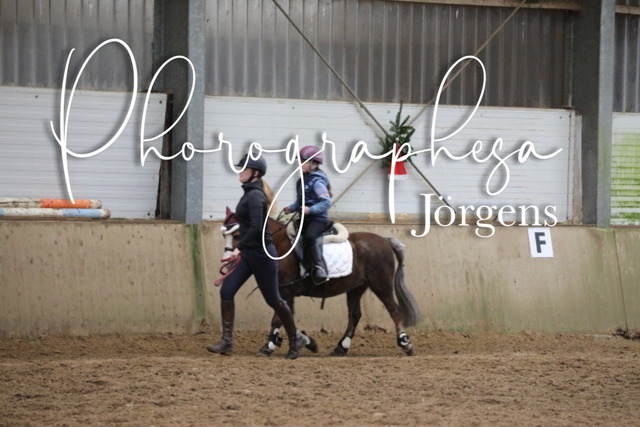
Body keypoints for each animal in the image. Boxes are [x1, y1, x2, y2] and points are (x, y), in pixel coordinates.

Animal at [220, 208, 421, 357]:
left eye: (237, 235)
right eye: (225, 236)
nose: (226, 260)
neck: (280, 246)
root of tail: (385, 241)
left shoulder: (285, 292)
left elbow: (278, 319)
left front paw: (269, 346)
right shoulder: (285, 293)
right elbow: (286, 318)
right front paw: (306, 342)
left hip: (381, 284)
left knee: (394, 310)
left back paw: (405, 343)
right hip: (356, 288)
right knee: (354, 315)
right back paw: (341, 347)